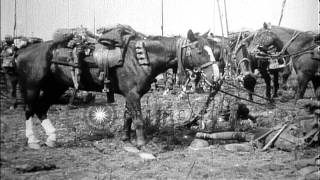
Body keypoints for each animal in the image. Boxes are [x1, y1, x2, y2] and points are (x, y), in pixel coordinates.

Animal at [15, 27, 220, 149]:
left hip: (55, 87)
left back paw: (51, 139)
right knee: (29, 109)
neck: (141, 57)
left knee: (41, 108)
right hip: (32, 87)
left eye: (212, 50)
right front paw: (141, 144)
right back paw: (33, 140)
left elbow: (127, 116)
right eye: (199, 51)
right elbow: (138, 119)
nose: (216, 77)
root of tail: (22, 52)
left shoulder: (131, 95)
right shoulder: (133, 94)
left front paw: (126, 139)